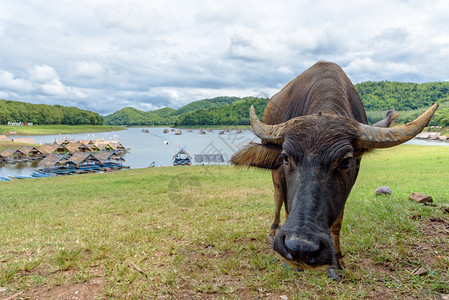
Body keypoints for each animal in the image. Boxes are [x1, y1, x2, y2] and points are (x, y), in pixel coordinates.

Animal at [231, 62, 438, 280]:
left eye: (346, 162)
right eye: (286, 157)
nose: (300, 248)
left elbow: (337, 221)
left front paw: (336, 262)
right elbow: (286, 205)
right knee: (278, 196)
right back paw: (272, 231)